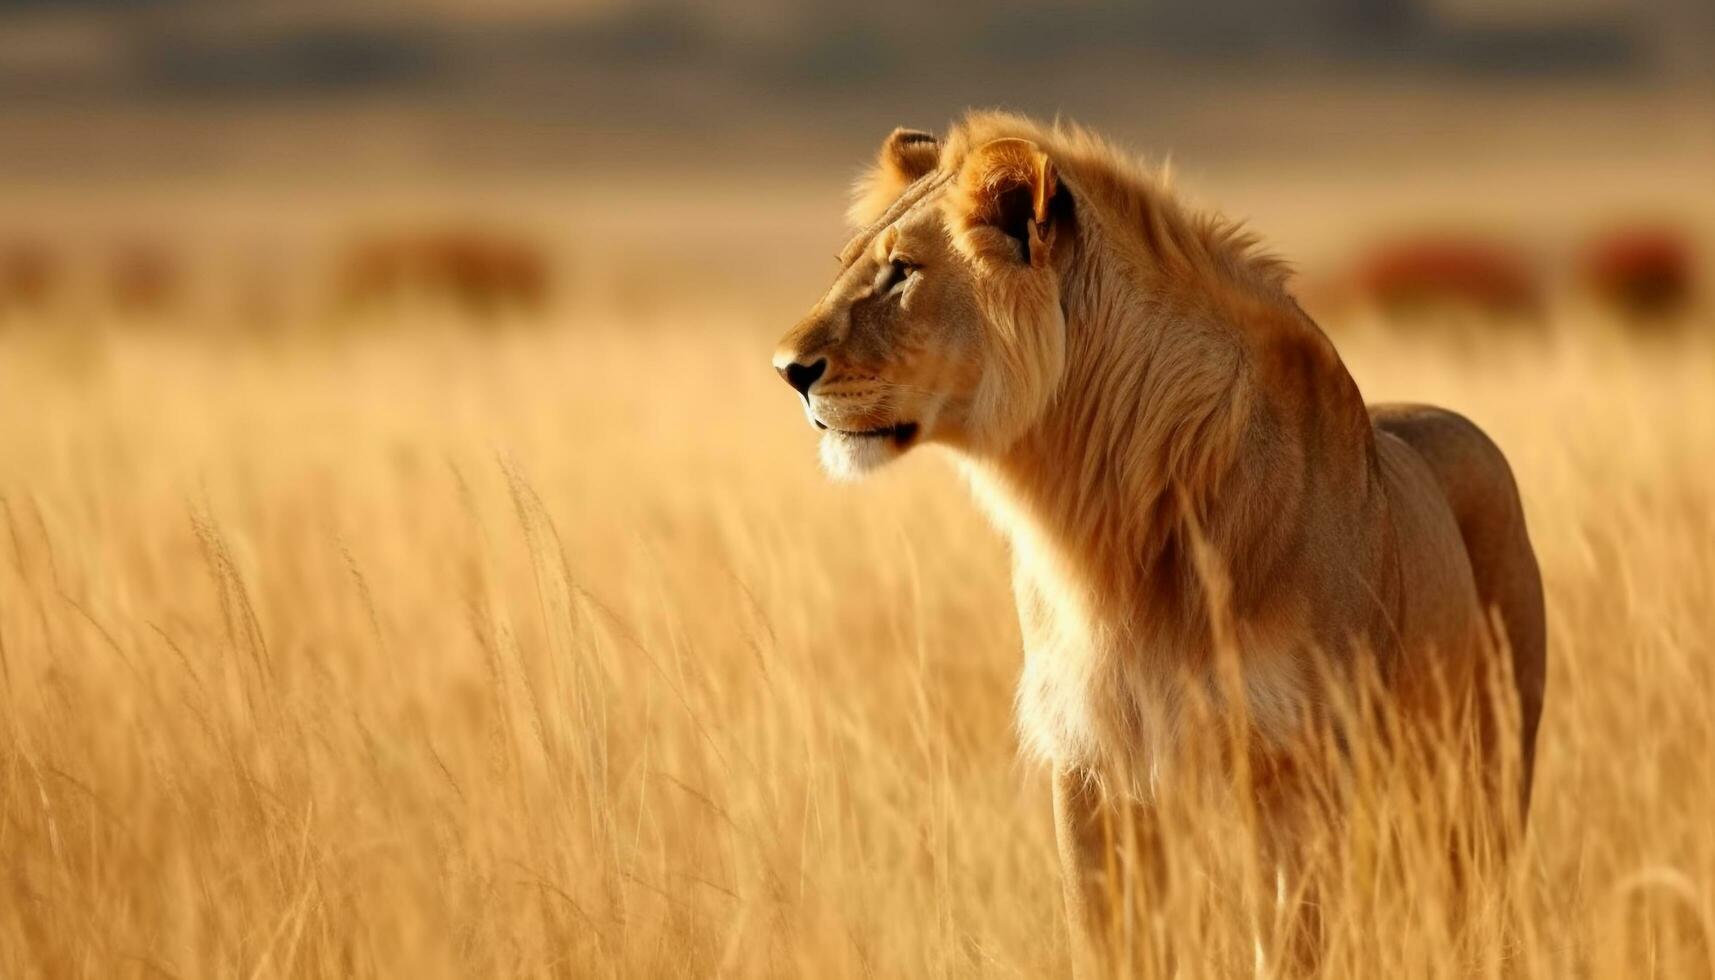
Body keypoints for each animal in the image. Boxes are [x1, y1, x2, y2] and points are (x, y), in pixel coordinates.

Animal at [771, 113, 1550, 974]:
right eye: (848, 265)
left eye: (901, 272)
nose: (787, 370)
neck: (1097, 523)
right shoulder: (1088, 761)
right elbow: (1107, 942)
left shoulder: (1294, 763)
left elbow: (1287, 947)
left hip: (1481, 774)